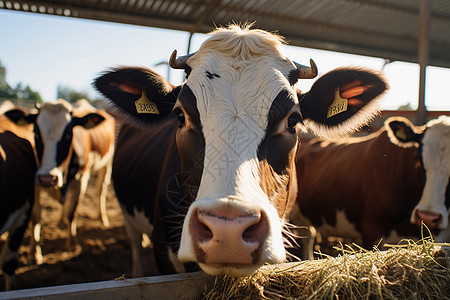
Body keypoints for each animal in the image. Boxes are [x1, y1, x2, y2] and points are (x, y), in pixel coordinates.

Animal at [8, 99, 115, 262]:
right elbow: (36, 216)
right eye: (36, 133)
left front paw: (72, 245)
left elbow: (72, 212)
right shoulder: (36, 182)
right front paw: (34, 253)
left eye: (68, 135)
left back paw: (103, 219)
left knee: (100, 190)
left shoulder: (81, 180)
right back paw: (61, 222)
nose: (48, 178)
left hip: (107, 164)